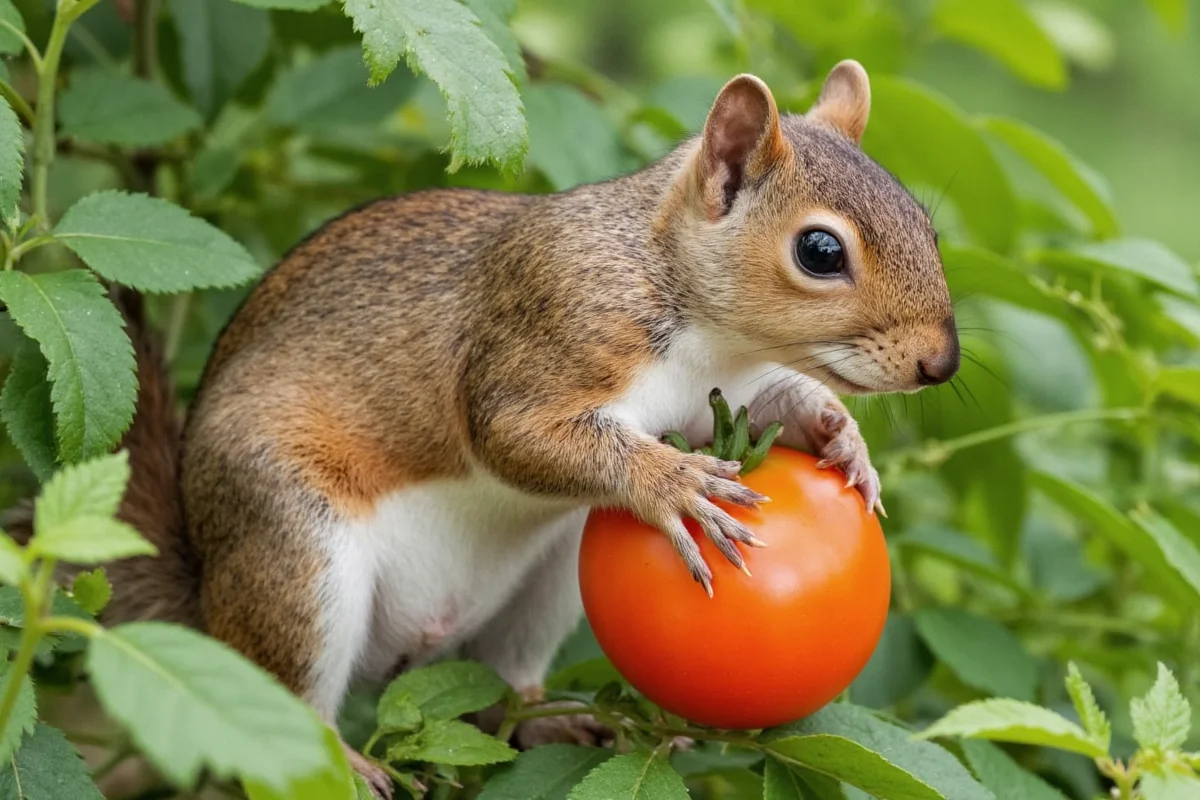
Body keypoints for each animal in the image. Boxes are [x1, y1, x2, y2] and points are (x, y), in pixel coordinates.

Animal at [6, 61, 958, 798]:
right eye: (820, 252)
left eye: (928, 225)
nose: (942, 364)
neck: (691, 309)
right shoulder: (544, 329)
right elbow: (512, 437)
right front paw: (673, 481)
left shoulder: (713, 393)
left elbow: (767, 407)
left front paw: (841, 439)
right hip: (291, 546)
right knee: (281, 704)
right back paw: (345, 760)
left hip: (548, 582)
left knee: (507, 688)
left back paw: (549, 724)